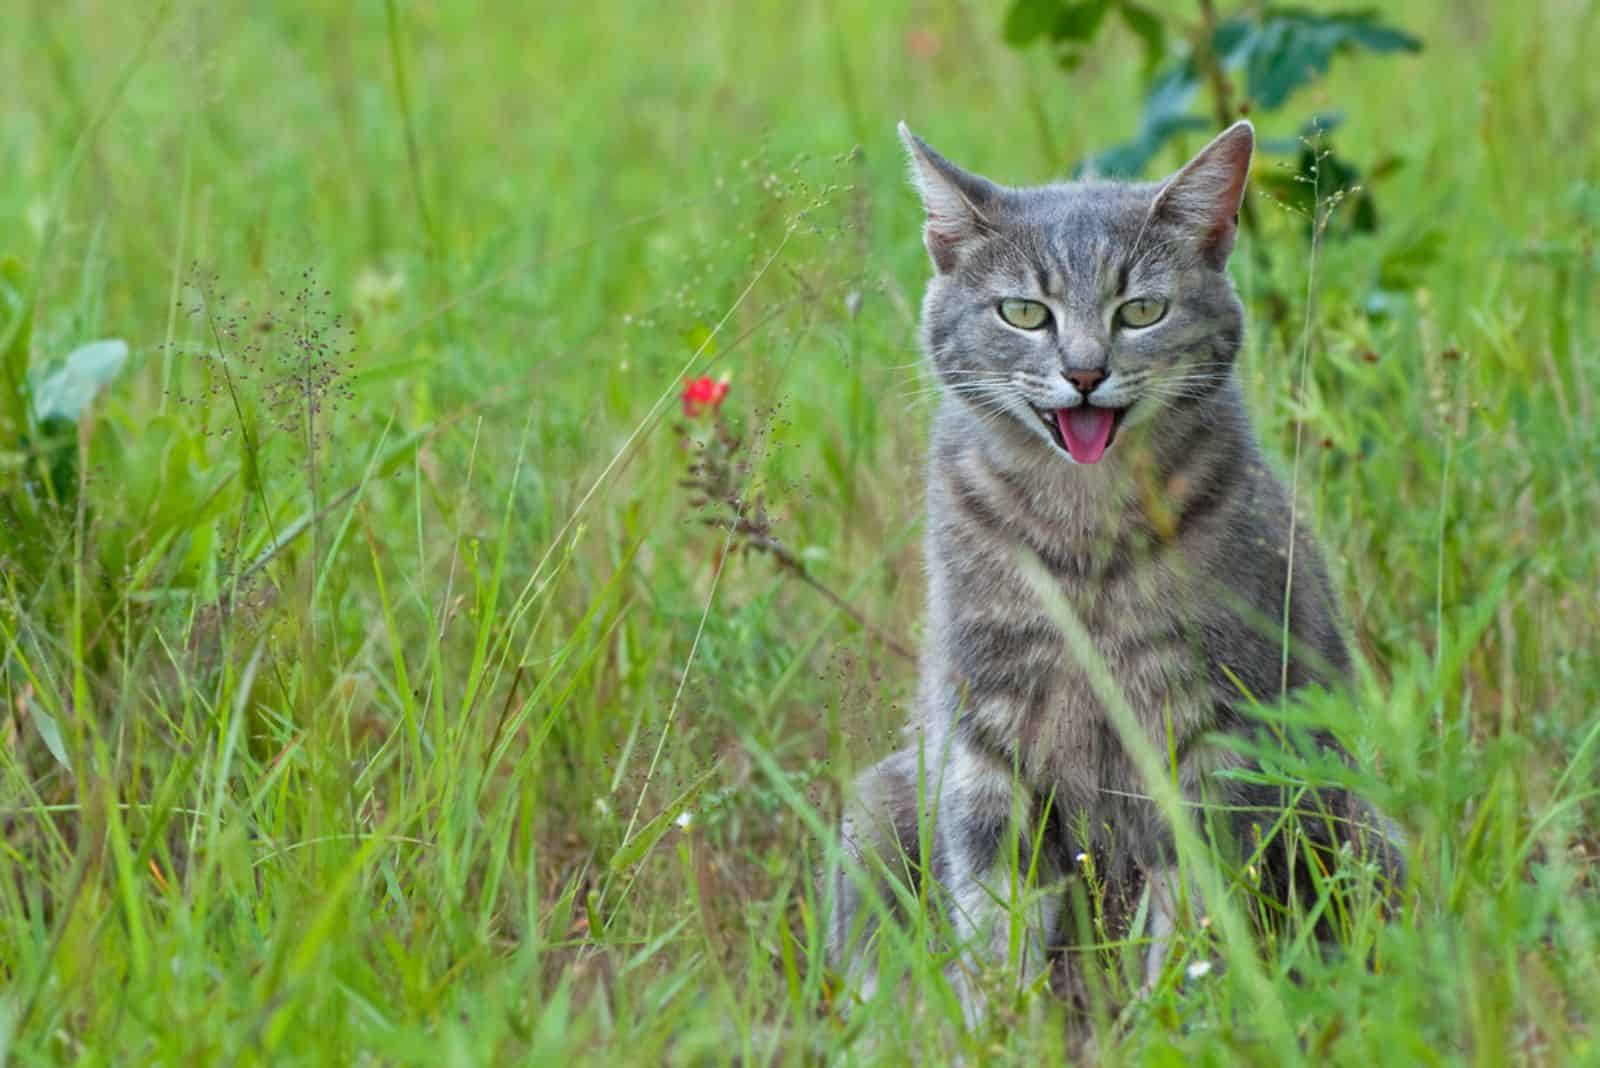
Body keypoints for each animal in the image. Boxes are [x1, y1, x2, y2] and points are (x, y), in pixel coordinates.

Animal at [832, 120, 1408, 1023]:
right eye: (1024, 312)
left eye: (1141, 310)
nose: (1084, 371)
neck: (1083, 535)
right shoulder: (986, 739)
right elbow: (995, 919)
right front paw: (1004, 1028)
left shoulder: (1213, 735)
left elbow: (1195, 923)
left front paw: (1177, 1023)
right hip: (878, 811)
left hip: (1359, 826)